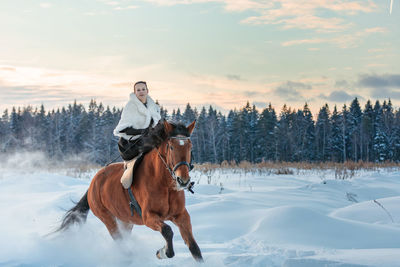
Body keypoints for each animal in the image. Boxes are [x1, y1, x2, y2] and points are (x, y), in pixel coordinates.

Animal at [57, 120, 203, 262]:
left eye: (190, 147)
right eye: (171, 147)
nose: (183, 180)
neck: (164, 185)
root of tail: (93, 182)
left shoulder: (181, 215)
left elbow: (194, 248)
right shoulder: (148, 217)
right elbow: (167, 231)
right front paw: (162, 252)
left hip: (126, 220)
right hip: (107, 218)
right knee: (119, 240)